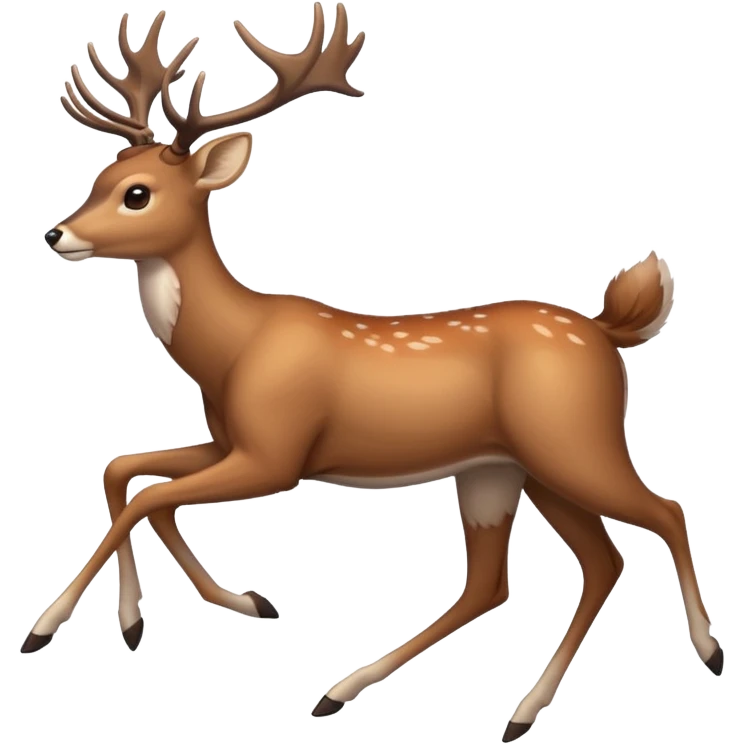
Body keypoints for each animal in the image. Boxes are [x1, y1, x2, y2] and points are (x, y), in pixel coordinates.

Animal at [29, 5, 721, 742]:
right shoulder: (232, 441)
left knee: (664, 513)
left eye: (136, 194)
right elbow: (126, 471)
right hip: (503, 468)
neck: (234, 349)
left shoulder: (276, 454)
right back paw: (462, 706)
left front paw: (47, 625)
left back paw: (707, 651)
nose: (56, 234)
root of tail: (606, 332)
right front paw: (210, 607)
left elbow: (146, 495)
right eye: (100, 176)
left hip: (574, 440)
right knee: (544, 572)